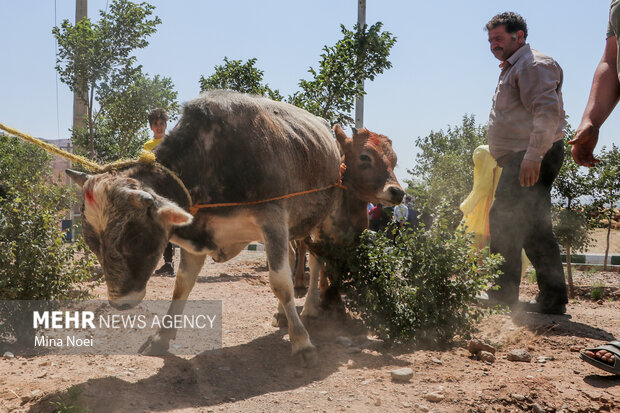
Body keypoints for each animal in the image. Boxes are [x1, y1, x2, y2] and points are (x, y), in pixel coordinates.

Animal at [66, 91, 402, 364]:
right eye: (92, 242)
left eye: (134, 236)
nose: (120, 302)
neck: (214, 159)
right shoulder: (200, 231)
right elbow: (182, 285)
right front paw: (161, 337)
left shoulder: (272, 219)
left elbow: (281, 281)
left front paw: (302, 342)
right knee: (298, 256)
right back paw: (285, 314)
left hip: (319, 219)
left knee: (316, 260)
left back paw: (309, 309)